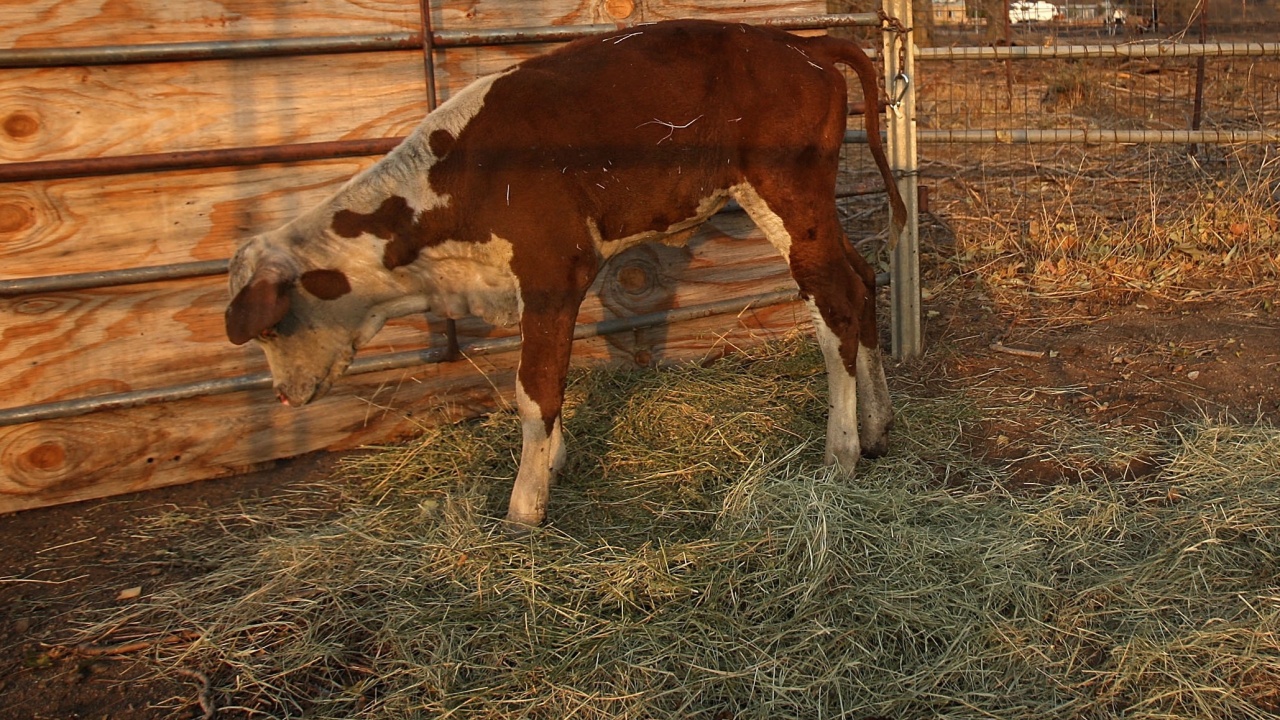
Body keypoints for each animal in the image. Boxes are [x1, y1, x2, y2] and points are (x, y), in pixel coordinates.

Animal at [227, 19, 911, 525]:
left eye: (270, 327)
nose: (283, 396)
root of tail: (801, 43)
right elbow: (543, 381)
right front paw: (552, 466)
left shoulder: (553, 274)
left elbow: (536, 391)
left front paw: (524, 508)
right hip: (812, 210)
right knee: (862, 280)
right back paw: (878, 428)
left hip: (788, 197)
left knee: (836, 303)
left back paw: (842, 451)